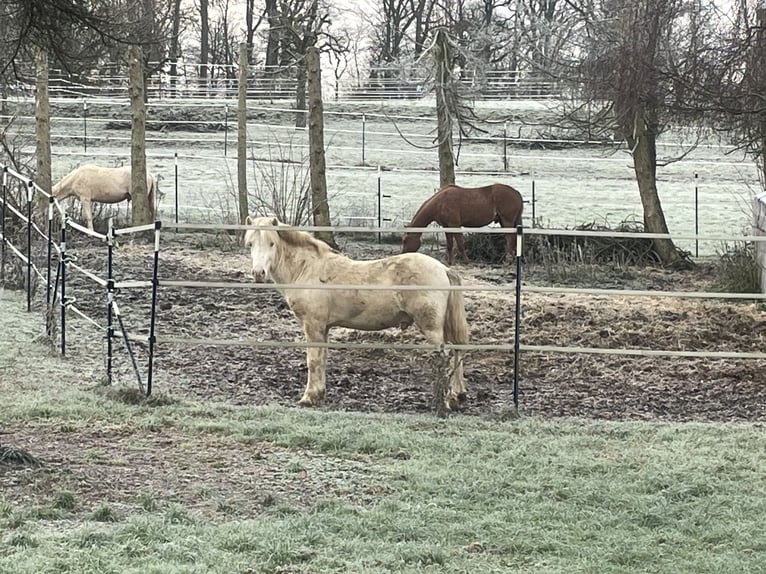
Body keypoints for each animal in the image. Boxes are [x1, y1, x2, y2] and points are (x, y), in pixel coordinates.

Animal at [246, 217, 472, 414]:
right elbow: (323, 359)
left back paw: (445, 400)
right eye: (250, 244)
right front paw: (319, 394)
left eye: (272, 243)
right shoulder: (324, 328)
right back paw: (458, 397)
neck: (308, 269)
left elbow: (313, 361)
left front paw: (308, 397)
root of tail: (443, 268)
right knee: (457, 351)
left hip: (431, 326)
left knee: (445, 357)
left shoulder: (313, 325)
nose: (258, 273)